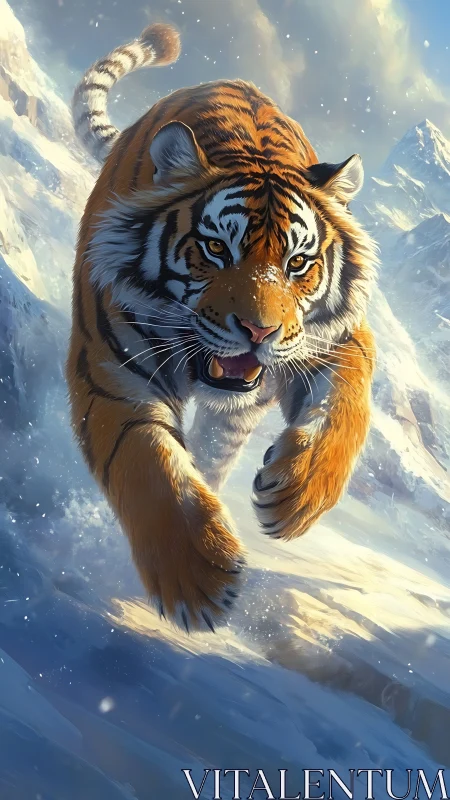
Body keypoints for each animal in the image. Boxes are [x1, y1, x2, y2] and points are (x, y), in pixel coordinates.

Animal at [67, 22, 377, 633]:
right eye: (215, 249)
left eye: (298, 264)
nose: (259, 332)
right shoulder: (109, 366)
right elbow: (146, 458)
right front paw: (197, 579)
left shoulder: (338, 338)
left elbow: (345, 411)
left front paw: (297, 495)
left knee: (216, 451)